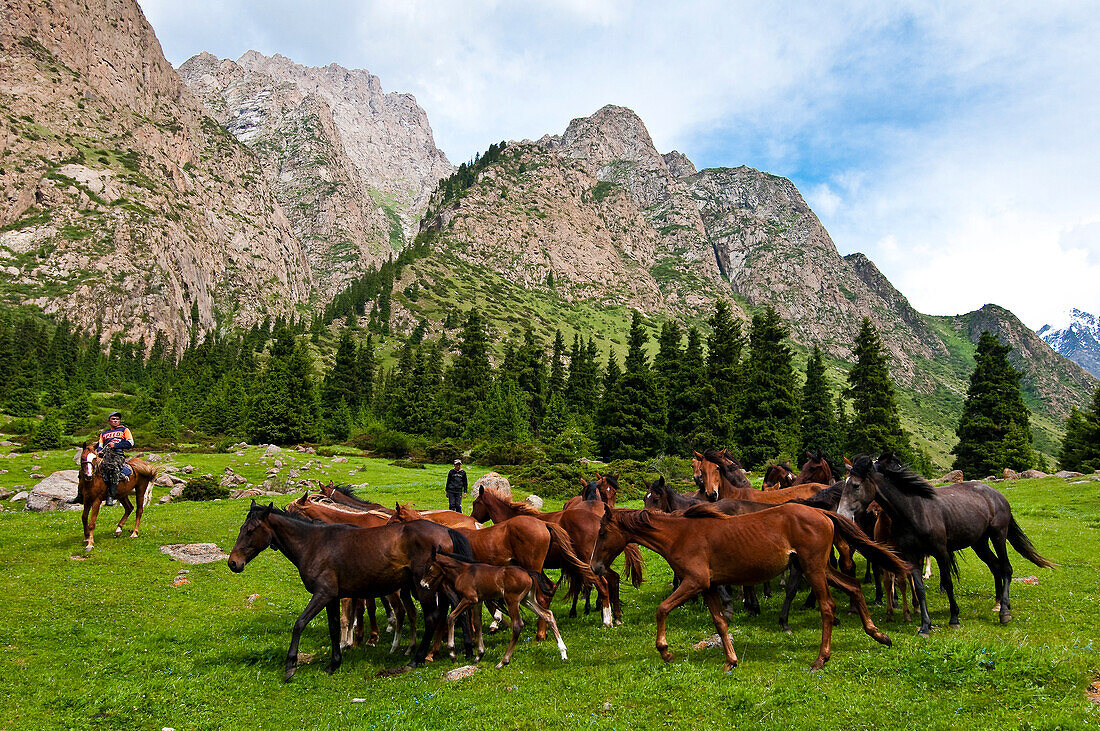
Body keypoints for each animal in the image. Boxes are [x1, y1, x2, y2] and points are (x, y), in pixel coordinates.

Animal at [227, 501, 473, 677]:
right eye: (241, 528)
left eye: (251, 530)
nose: (233, 563)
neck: (313, 544)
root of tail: (446, 531)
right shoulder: (332, 597)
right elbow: (335, 627)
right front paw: (334, 664)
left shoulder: (322, 594)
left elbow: (299, 623)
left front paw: (290, 665)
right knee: (459, 609)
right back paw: (468, 651)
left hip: (424, 588)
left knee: (433, 617)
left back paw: (417, 658)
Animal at [594, 505, 910, 668]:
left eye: (603, 531)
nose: (595, 566)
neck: (679, 535)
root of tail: (821, 513)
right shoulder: (708, 586)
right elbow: (720, 622)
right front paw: (731, 661)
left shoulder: (694, 582)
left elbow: (662, 609)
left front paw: (666, 652)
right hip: (821, 568)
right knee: (854, 586)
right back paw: (879, 635)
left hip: (813, 569)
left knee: (828, 607)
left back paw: (821, 659)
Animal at [840, 452, 1056, 637]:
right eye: (845, 483)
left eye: (856, 485)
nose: (842, 515)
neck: (915, 510)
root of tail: (998, 496)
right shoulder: (911, 555)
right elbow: (919, 588)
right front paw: (925, 626)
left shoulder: (941, 552)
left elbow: (948, 583)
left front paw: (954, 618)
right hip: (980, 543)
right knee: (996, 567)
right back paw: (998, 604)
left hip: (998, 536)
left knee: (1006, 568)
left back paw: (1004, 612)